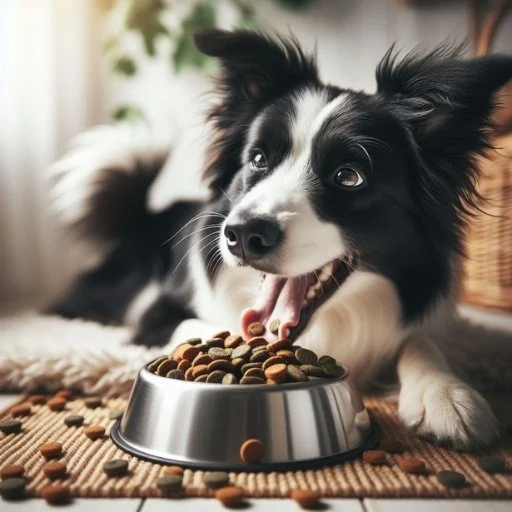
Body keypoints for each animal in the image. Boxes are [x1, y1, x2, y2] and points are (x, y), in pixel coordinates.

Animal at [49, 31, 512, 448]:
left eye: (349, 176)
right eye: (257, 159)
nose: (242, 235)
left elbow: (420, 340)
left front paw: (447, 396)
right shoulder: (158, 312)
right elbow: (205, 327)